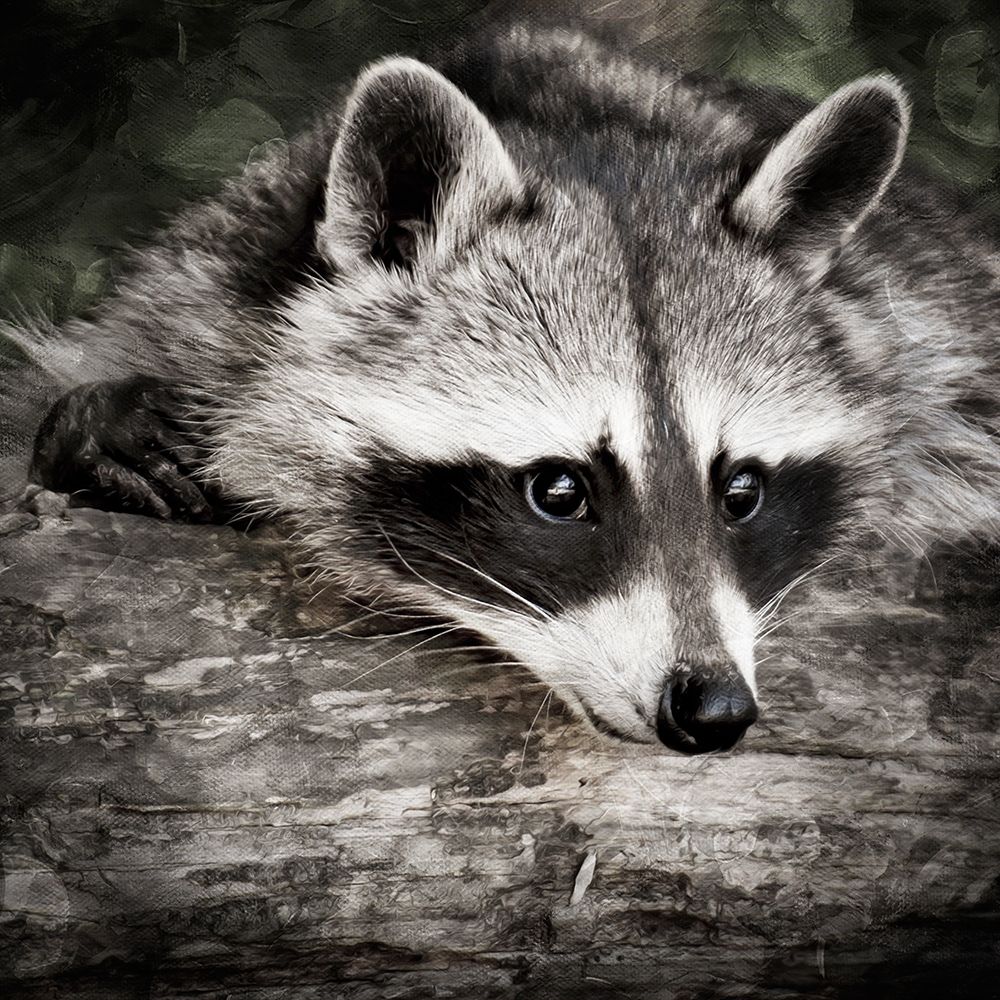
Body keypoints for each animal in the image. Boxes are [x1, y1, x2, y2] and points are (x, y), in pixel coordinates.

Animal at [14, 23, 1000, 753]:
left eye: (742, 490)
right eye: (559, 491)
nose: (713, 709)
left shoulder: (936, 349)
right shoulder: (199, 280)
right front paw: (98, 431)